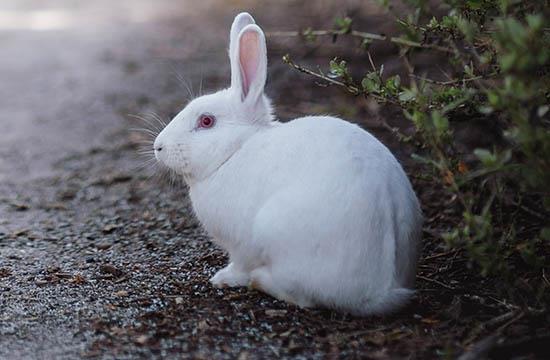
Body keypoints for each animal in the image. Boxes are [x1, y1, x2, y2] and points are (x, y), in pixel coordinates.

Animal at [153, 12, 424, 314]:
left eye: (206, 121)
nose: (158, 147)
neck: (236, 150)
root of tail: (380, 292)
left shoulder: (241, 245)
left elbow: (239, 264)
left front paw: (222, 278)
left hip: (275, 233)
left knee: (303, 298)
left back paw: (260, 280)